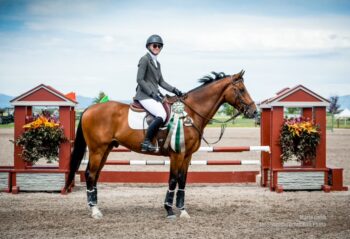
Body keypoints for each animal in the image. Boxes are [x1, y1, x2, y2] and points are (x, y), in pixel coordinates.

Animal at [65, 69, 258, 218]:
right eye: (241, 89)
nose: (254, 112)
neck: (190, 113)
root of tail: (89, 109)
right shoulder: (177, 154)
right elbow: (173, 179)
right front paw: (169, 210)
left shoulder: (187, 156)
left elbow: (182, 181)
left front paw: (182, 210)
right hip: (97, 150)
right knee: (90, 174)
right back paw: (95, 210)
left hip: (106, 150)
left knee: (95, 175)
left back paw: (95, 206)